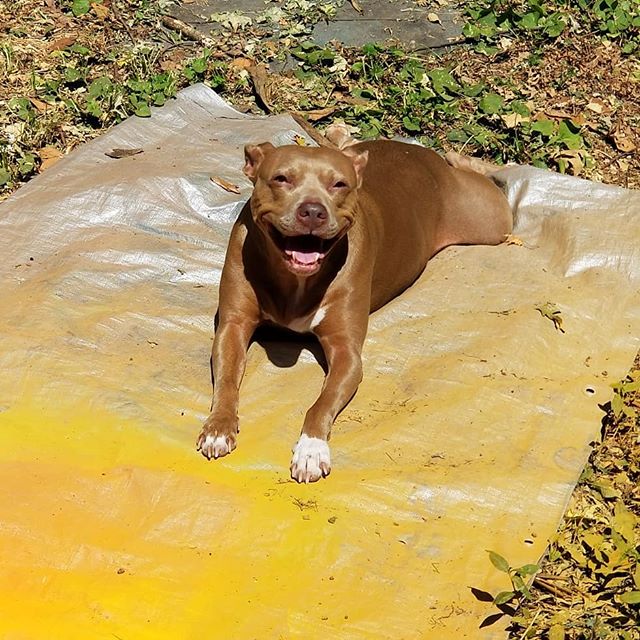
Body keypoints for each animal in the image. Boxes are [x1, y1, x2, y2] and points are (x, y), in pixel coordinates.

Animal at [198, 140, 512, 480]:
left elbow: (321, 403)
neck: (295, 281)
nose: (313, 211)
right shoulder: (233, 326)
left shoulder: (346, 353)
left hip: (489, 220)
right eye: (282, 178)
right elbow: (227, 380)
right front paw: (218, 427)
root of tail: (423, 152)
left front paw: (311, 448)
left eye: (339, 184)